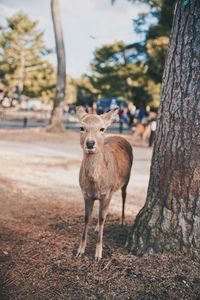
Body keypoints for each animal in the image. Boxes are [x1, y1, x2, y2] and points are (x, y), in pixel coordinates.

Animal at [76, 106, 133, 262]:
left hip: (126, 180)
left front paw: (98, 254)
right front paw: (80, 250)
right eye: (81, 127)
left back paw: (122, 221)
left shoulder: (106, 193)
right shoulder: (85, 194)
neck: (96, 184)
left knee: (124, 196)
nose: (90, 143)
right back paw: (96, 228)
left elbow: (102, 218)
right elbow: (87, 218)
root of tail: (120, 136)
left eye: (102, 129)